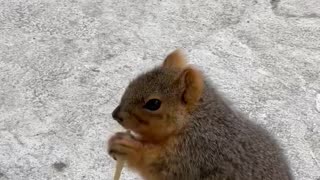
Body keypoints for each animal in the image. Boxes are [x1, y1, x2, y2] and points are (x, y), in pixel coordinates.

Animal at [109, 49, 292, 180]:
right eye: (131, 83)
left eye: (153, 104)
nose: (116, 115)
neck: (195, 120)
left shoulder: (197, 153)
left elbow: (161, 167)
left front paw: (127, 146)